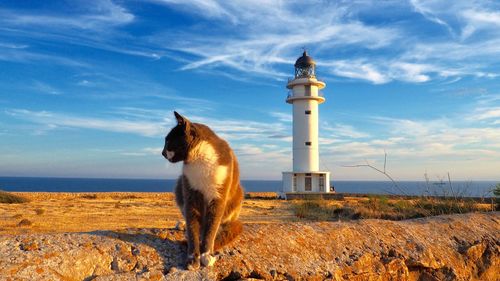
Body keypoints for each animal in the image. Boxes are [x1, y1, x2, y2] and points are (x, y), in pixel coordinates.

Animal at [163, 111, 243, 270]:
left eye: (168, 140)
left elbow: (212, 225)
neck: (200, 159)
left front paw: (206, 255)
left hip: (238, 195)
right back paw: (182, 224)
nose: (162, 153)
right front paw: (193, 258)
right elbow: (192, 223)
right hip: (179, 184)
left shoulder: (219, 191)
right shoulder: (190, 189)